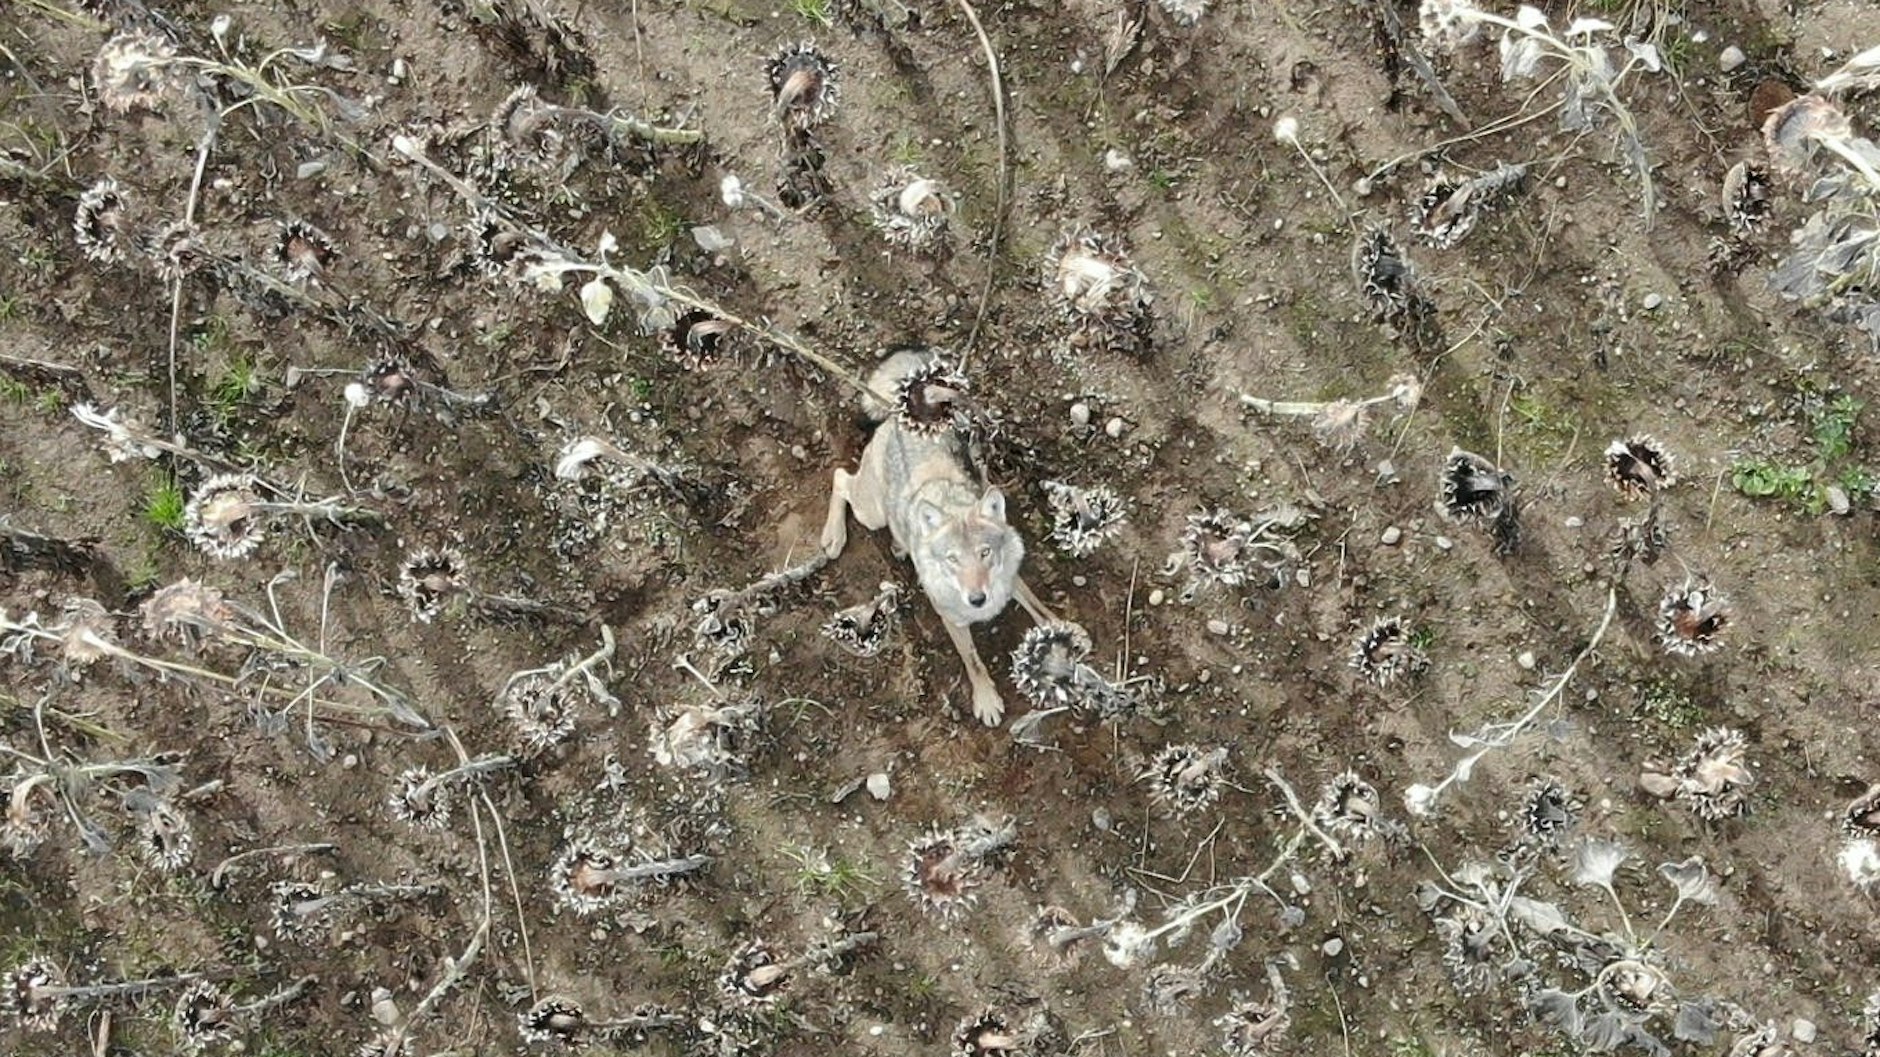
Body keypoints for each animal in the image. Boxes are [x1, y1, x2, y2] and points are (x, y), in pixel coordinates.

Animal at [820, 349, 1051, 725]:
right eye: (952, 559)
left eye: (985, 553)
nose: (977, 599)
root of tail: (901, 413)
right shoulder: (952, 620)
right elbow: (973, 660)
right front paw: (986, 701)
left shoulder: (1011, 580)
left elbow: (1042, 611)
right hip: (871, 513)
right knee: (840, 477)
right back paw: (833, 537)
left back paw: (900, 545)